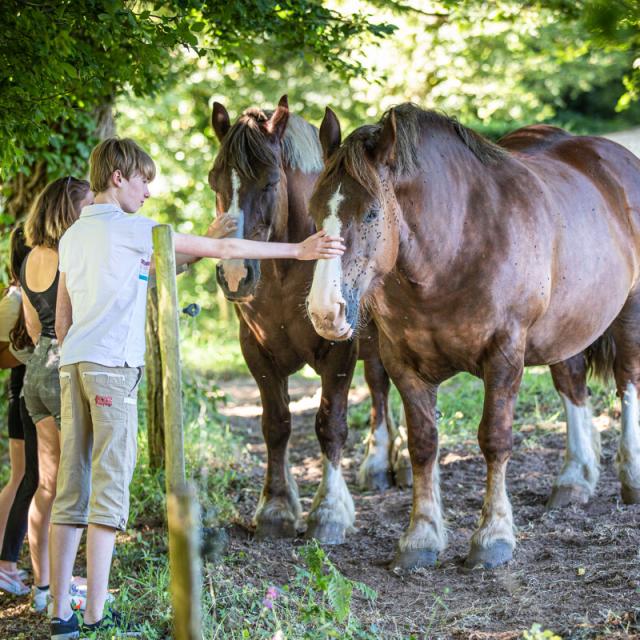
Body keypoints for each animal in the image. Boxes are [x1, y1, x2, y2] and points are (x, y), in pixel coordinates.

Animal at [208, 97, 408, 544]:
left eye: (269, 182)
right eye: (215, 183)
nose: (234, 274)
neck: (286, 272)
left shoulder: (338, 349)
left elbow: (329, 425)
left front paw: (329, 512)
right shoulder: (257, 351)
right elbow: (276, 424)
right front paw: (277, 507)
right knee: (379, 386)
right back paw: (379, 462)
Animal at [304, 105, 640, 568]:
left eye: (371, 213)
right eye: (314, 211)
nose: (325, 310)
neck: (457, 244)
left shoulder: (504, 356)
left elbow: (495, 440)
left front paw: (493, 536)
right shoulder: (403, 363)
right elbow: (424, 444)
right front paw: (421, 537)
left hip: (629, 310)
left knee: (628, 381)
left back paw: (632, 476)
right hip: (567, 324)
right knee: (571, 384)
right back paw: (574, 479)